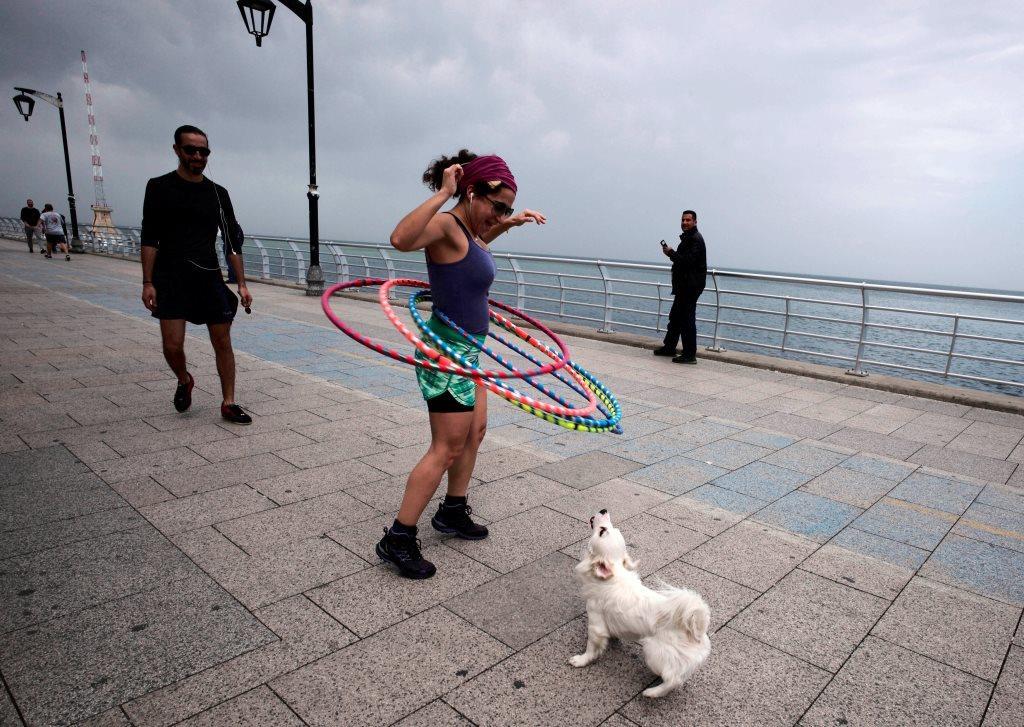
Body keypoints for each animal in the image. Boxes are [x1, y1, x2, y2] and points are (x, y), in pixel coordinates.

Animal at [569, 509, 712, 696]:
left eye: (602, 531)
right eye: (608, 528)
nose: (603, 510)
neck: (613, 575)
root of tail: (695, 627)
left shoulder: (595, 622)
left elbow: (592, 647)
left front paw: (581, 660)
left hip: (653, 651)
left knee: (673, 680)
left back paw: (652, 692)